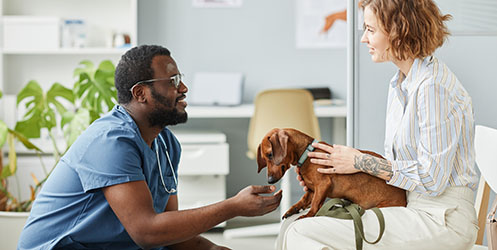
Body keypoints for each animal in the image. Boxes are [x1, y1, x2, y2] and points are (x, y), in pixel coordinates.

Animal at [258, 129, 404, 219]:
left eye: (270, 155)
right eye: (264, 158)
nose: (269, 180)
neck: (307, 153)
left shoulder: (323, 185)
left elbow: (315, 204)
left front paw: (307, 215)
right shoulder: (311, 190)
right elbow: (303, 200)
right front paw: (292, 210)